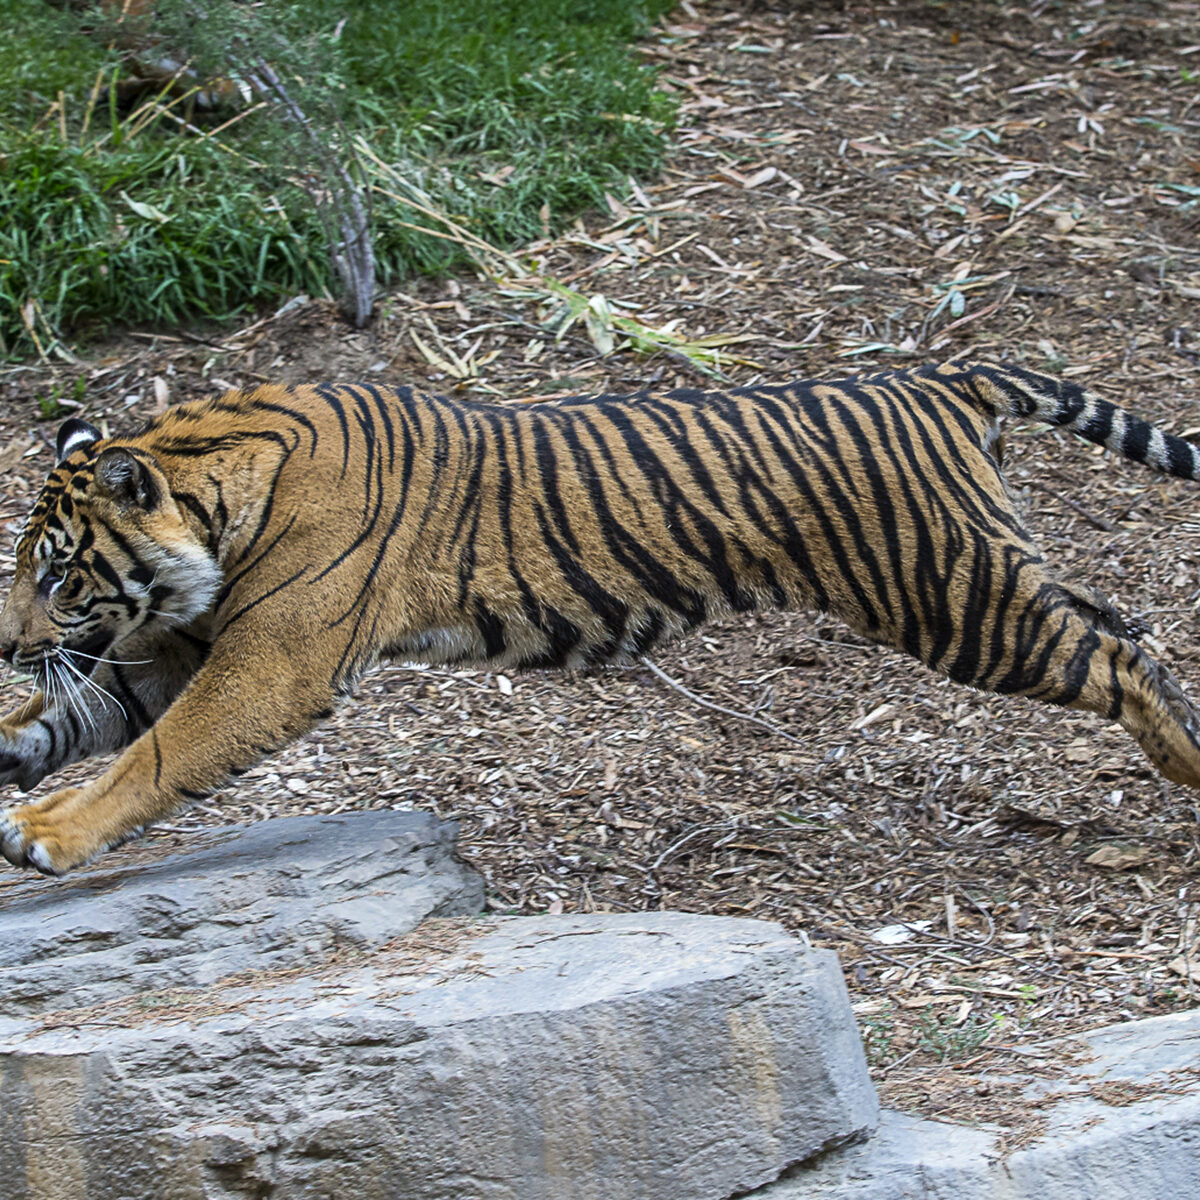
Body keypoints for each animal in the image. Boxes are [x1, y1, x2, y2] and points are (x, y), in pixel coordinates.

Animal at [2, 360, 1200, 878]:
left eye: (58, 578)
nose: (9, 644)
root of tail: (944, 380)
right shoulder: (174, 646)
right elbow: (82, 725)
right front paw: (20, 766)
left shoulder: (270, 663)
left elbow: (157, 756)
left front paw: (50, 834)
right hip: (988, 576)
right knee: (1128, 622)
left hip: (957, 600)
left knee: (1118, 653)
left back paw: (1190, 768)